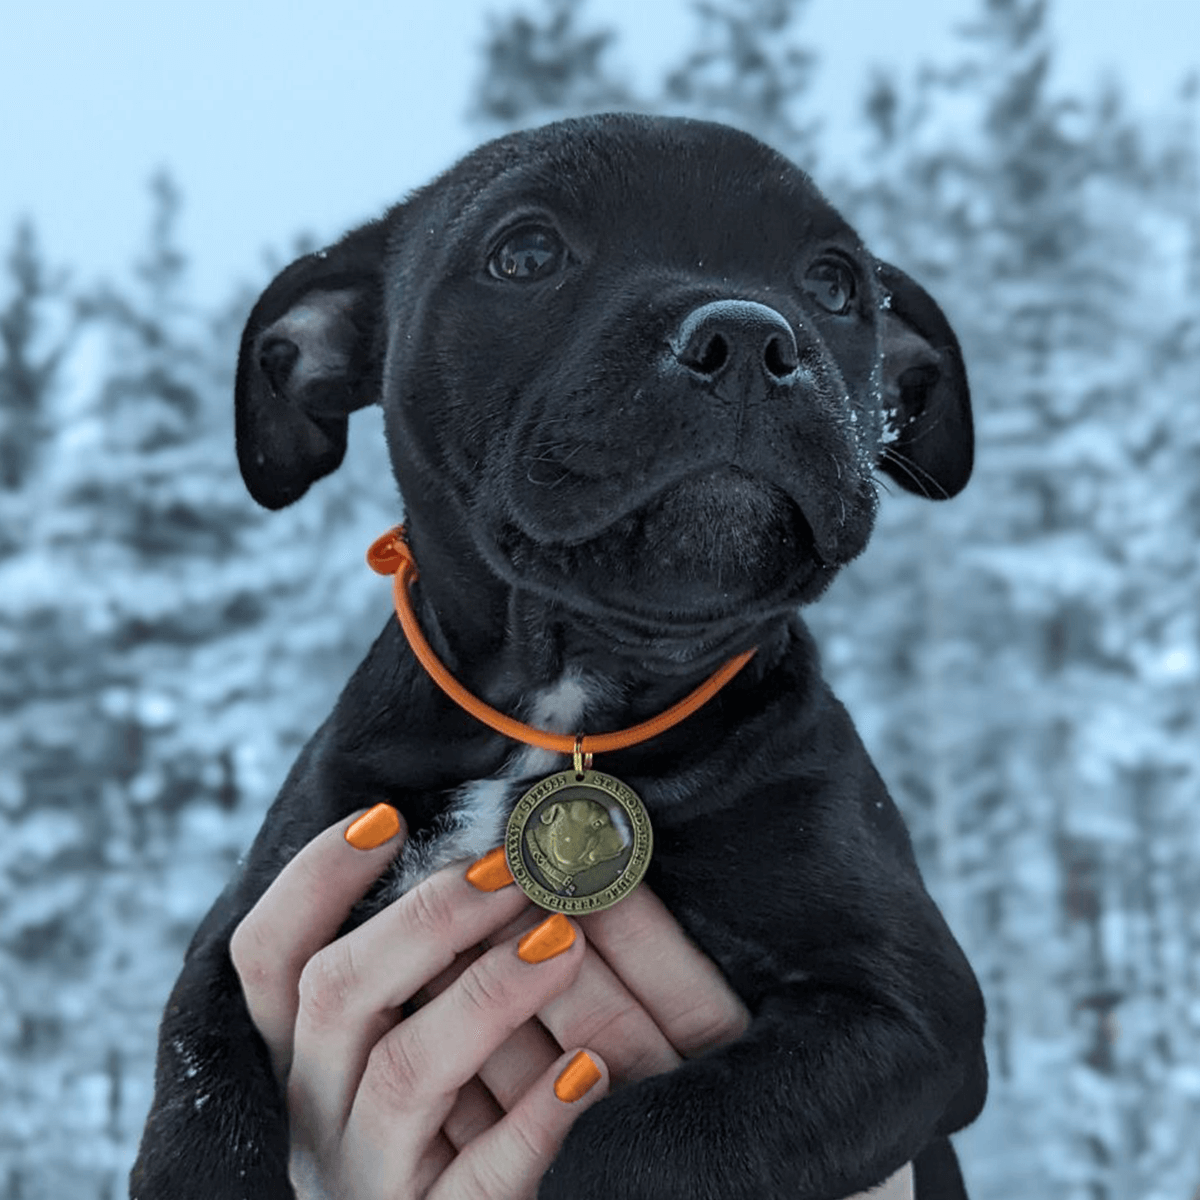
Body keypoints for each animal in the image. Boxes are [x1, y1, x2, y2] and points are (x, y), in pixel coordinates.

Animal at [136, 114, 988, 1200]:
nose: (752, 337)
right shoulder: (248, 935)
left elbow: (649, 1138)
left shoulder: (914, 1013)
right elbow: (197, 1088)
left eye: (837, 285)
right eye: (528, 255)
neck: (565, 690)